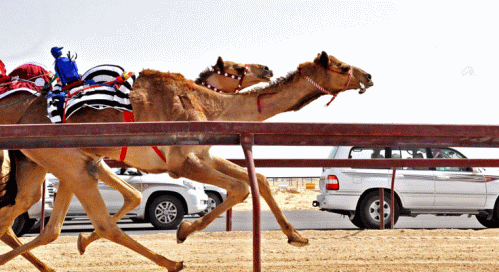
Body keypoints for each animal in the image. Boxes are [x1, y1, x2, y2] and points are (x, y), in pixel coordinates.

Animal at [0, 51, 374, 272]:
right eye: (342, 66)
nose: (368, 76)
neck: (207, 104)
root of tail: (25, 116)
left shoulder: (203, 153)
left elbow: (257, 180)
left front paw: (296, 236)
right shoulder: (180, 162)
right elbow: (240, 188)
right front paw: (182, 231)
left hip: (54, 164)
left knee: (37, 221)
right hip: (67, 162)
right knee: (97, 223)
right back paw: (172, 262)